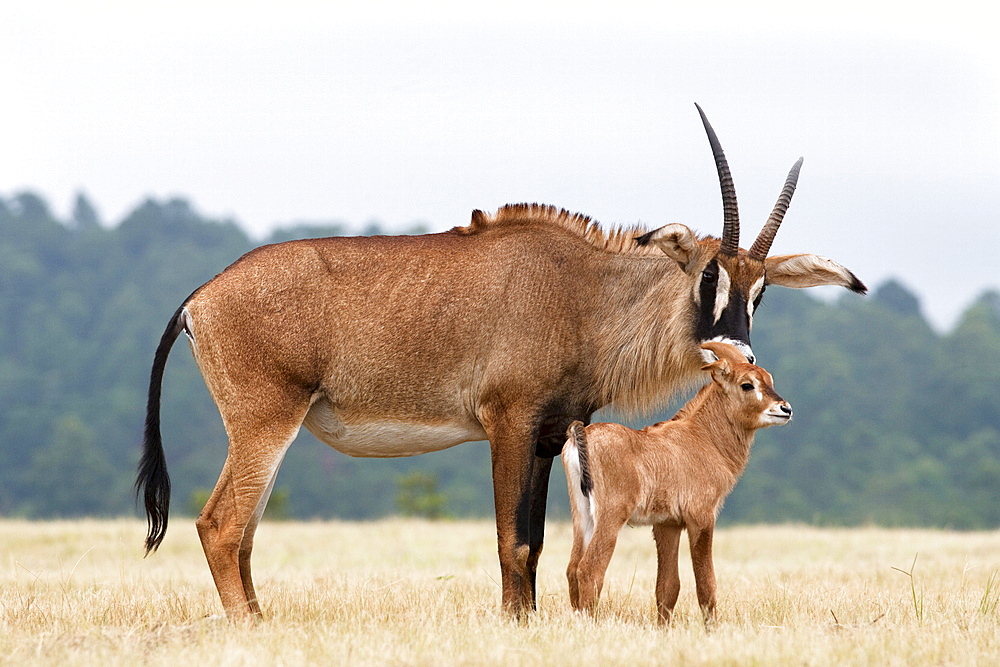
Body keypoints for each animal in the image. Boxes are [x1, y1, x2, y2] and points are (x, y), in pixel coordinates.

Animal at [564, 344, 788, 628]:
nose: (785, 409)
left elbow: (667, 587)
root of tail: (581, 434)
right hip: (610, 516)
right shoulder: (701, 517)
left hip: (583, 515)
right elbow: (706, 584)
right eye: (747, 384)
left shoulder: (666, 524)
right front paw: (712, 629)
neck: (702, 437)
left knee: (573, 568)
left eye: (768, 379)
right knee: (590, 569)